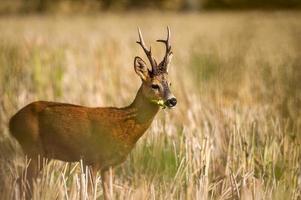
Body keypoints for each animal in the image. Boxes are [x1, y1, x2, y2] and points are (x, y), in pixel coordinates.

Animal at [8, 27, 176, 200]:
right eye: (154, 85)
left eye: (169, 83)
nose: (172, 100)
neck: (123, 124)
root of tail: (11, 122)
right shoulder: (93, 159)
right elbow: (88, 194)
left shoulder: (108, 166)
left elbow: (109, 195)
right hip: (33, 149)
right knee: (21, 182)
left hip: (42, 155)